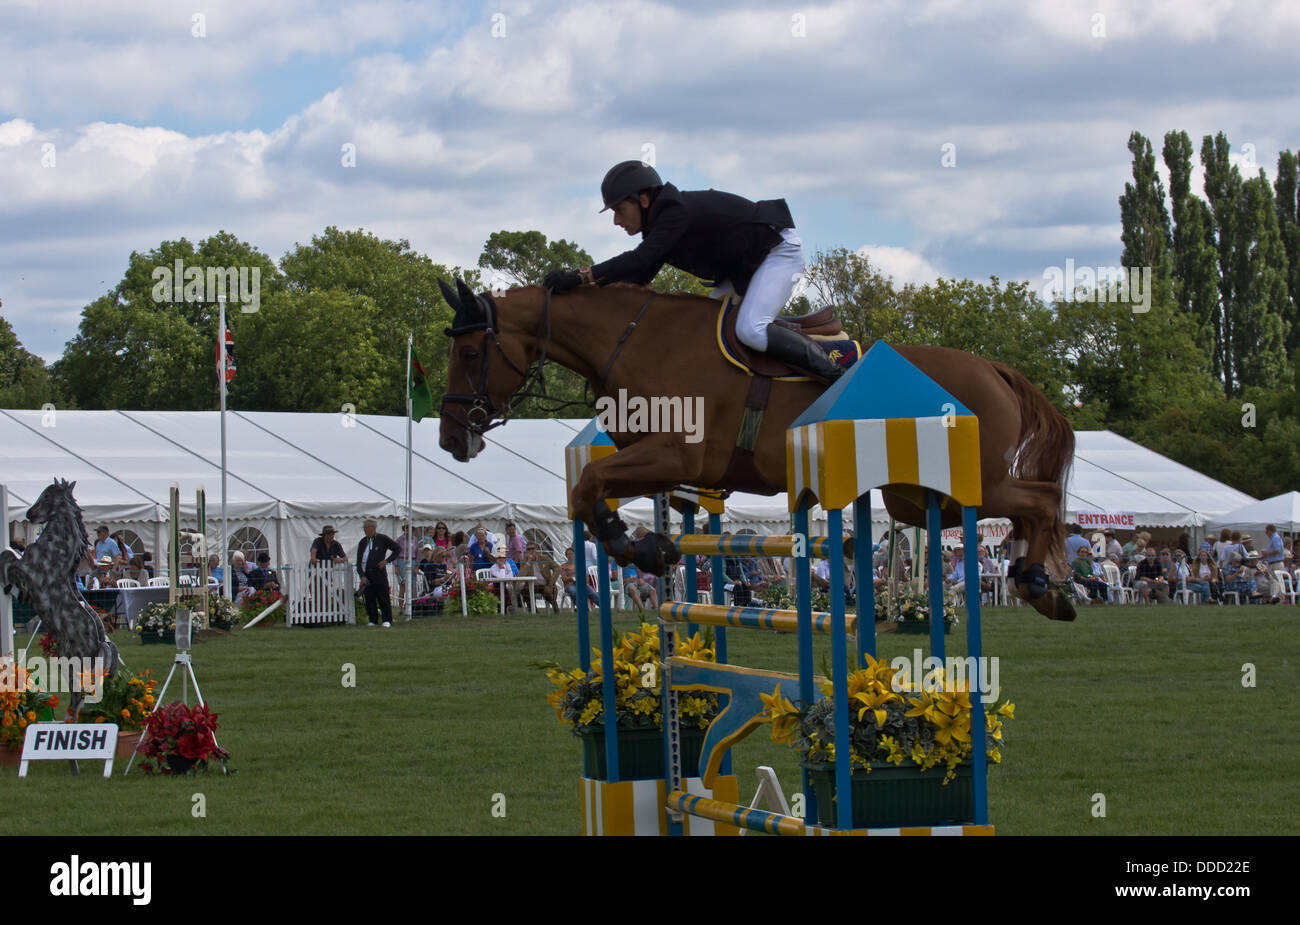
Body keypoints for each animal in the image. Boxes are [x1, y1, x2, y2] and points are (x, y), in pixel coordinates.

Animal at [0, 478, 120, 717]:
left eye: (47, 495)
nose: (29, 514)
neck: (55, 552)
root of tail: (99, 644)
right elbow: (9, 557)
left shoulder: (26, 570)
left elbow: (7, 556)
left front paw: (7, 582)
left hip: (70, 661)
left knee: (78, 695)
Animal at [436, 276, 1076, 620]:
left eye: (468, 353)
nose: (451, 438)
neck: (635, 341)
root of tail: (992, 368)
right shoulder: (663, 468)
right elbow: (590, 496)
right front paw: (648, 548)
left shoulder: (674, 456)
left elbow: (592, 485)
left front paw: (641, 550)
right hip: (911, 498)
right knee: (1024, 504)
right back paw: (1041, 586)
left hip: (970, 482)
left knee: (1041, 499)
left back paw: (1039, 585)